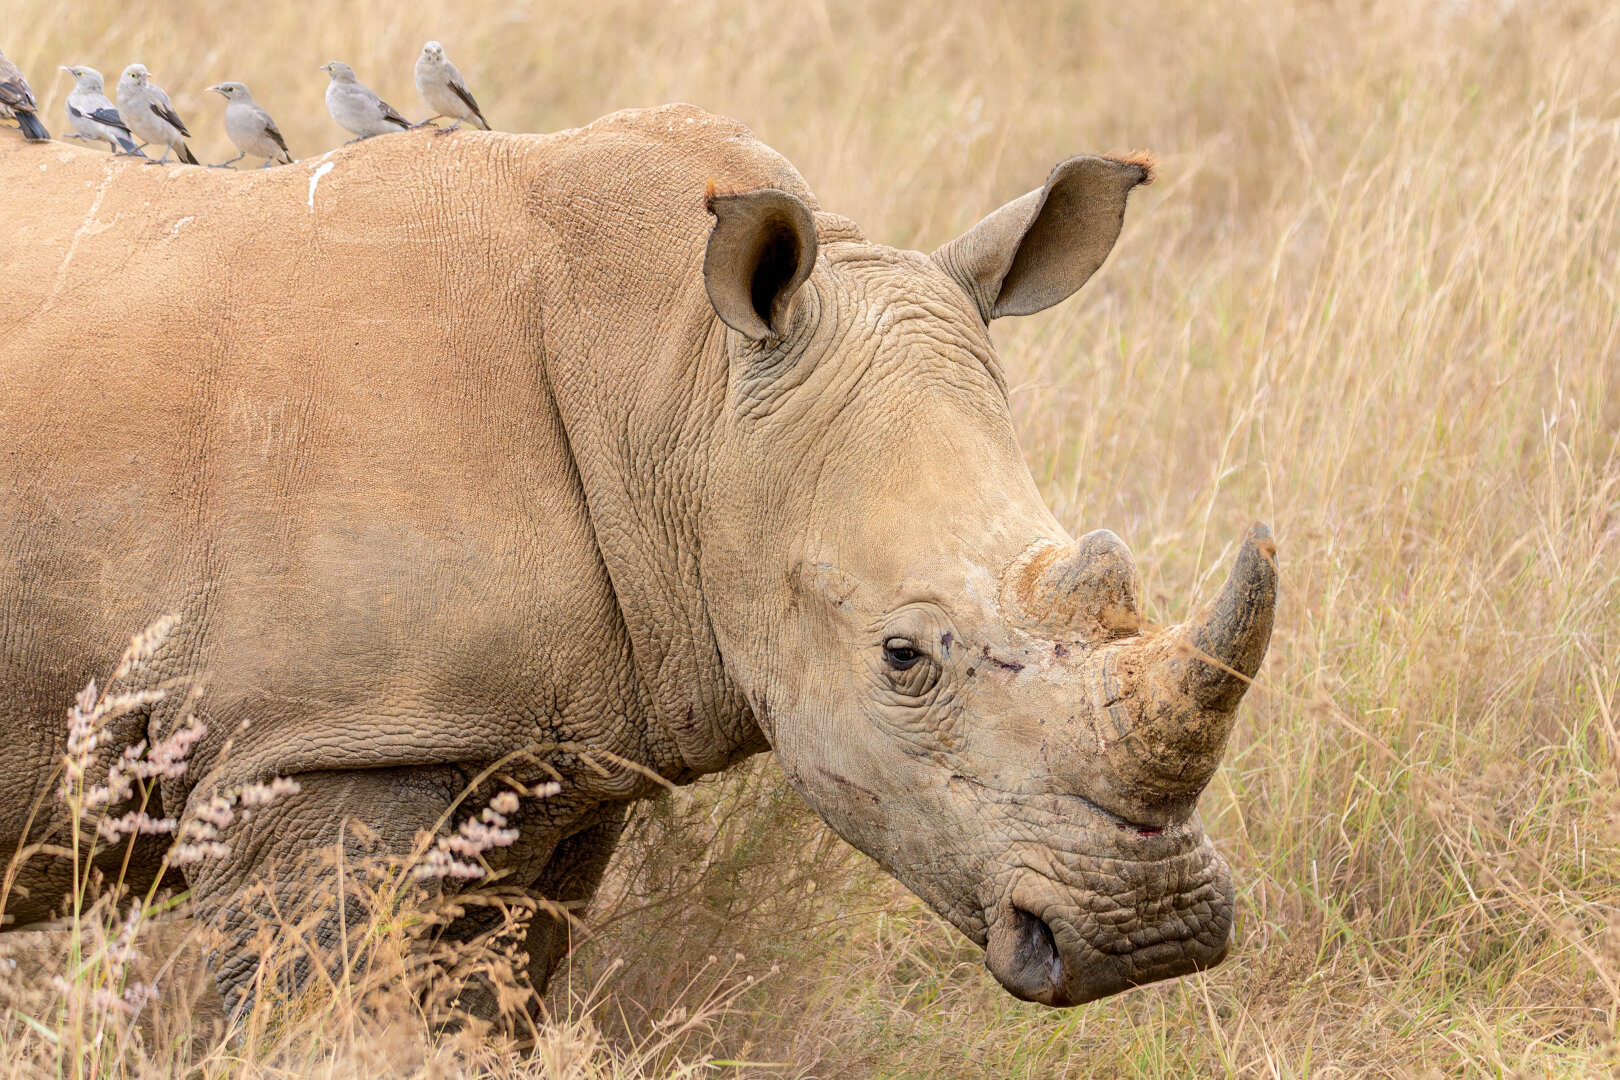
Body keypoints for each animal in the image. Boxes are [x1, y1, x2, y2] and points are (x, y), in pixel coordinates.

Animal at [0, 104, 1275, 1009]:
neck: (682, 386)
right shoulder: (312, 740)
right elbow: (310, 1004)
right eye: (903, 657)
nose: (1149, 936)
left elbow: (477, 1000)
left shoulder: (546, 755)